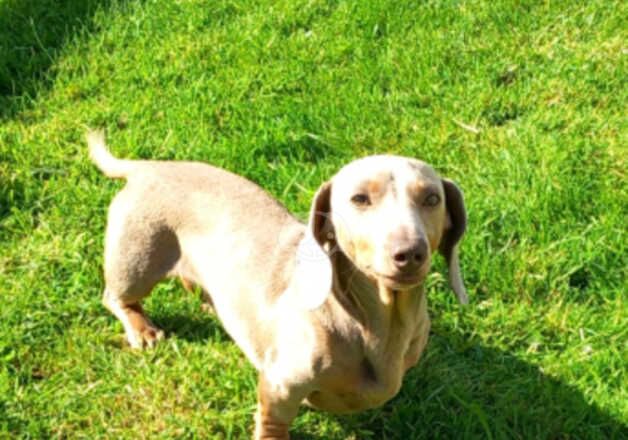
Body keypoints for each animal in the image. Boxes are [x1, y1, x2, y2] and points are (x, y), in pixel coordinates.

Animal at [88, 131, 466, 440]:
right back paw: (143, 330)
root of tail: (149, 168)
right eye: (359, 198)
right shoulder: (280, 385)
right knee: (116, 298)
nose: (409, 253)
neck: (373, 320)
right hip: (137, 262)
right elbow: (273, 422)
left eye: (432, 199)